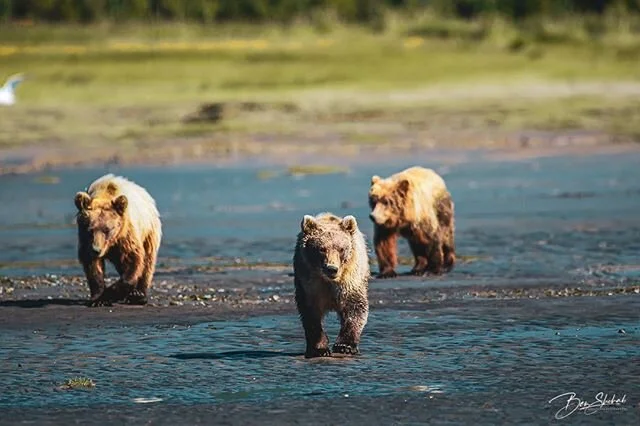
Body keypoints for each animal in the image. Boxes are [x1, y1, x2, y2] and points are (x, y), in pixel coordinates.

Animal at [74, 174, 162, 307]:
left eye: (107, 229)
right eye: (90, 230)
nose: (96, 250)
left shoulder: (125, 236)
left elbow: (133, 260)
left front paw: (110, 294)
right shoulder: (86, 241)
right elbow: (93, 267)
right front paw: (98, 298)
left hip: (149, 231)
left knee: (148, 262)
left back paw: (139, 294)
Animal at [293, 212, 370, 358]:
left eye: (341, 248)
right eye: (321, 249)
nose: (332, 269)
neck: (329, 281)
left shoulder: (349, 280)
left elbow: (355, 308)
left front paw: (345, 346)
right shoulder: (310, 284)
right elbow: (310, 314)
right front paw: (319, 349)